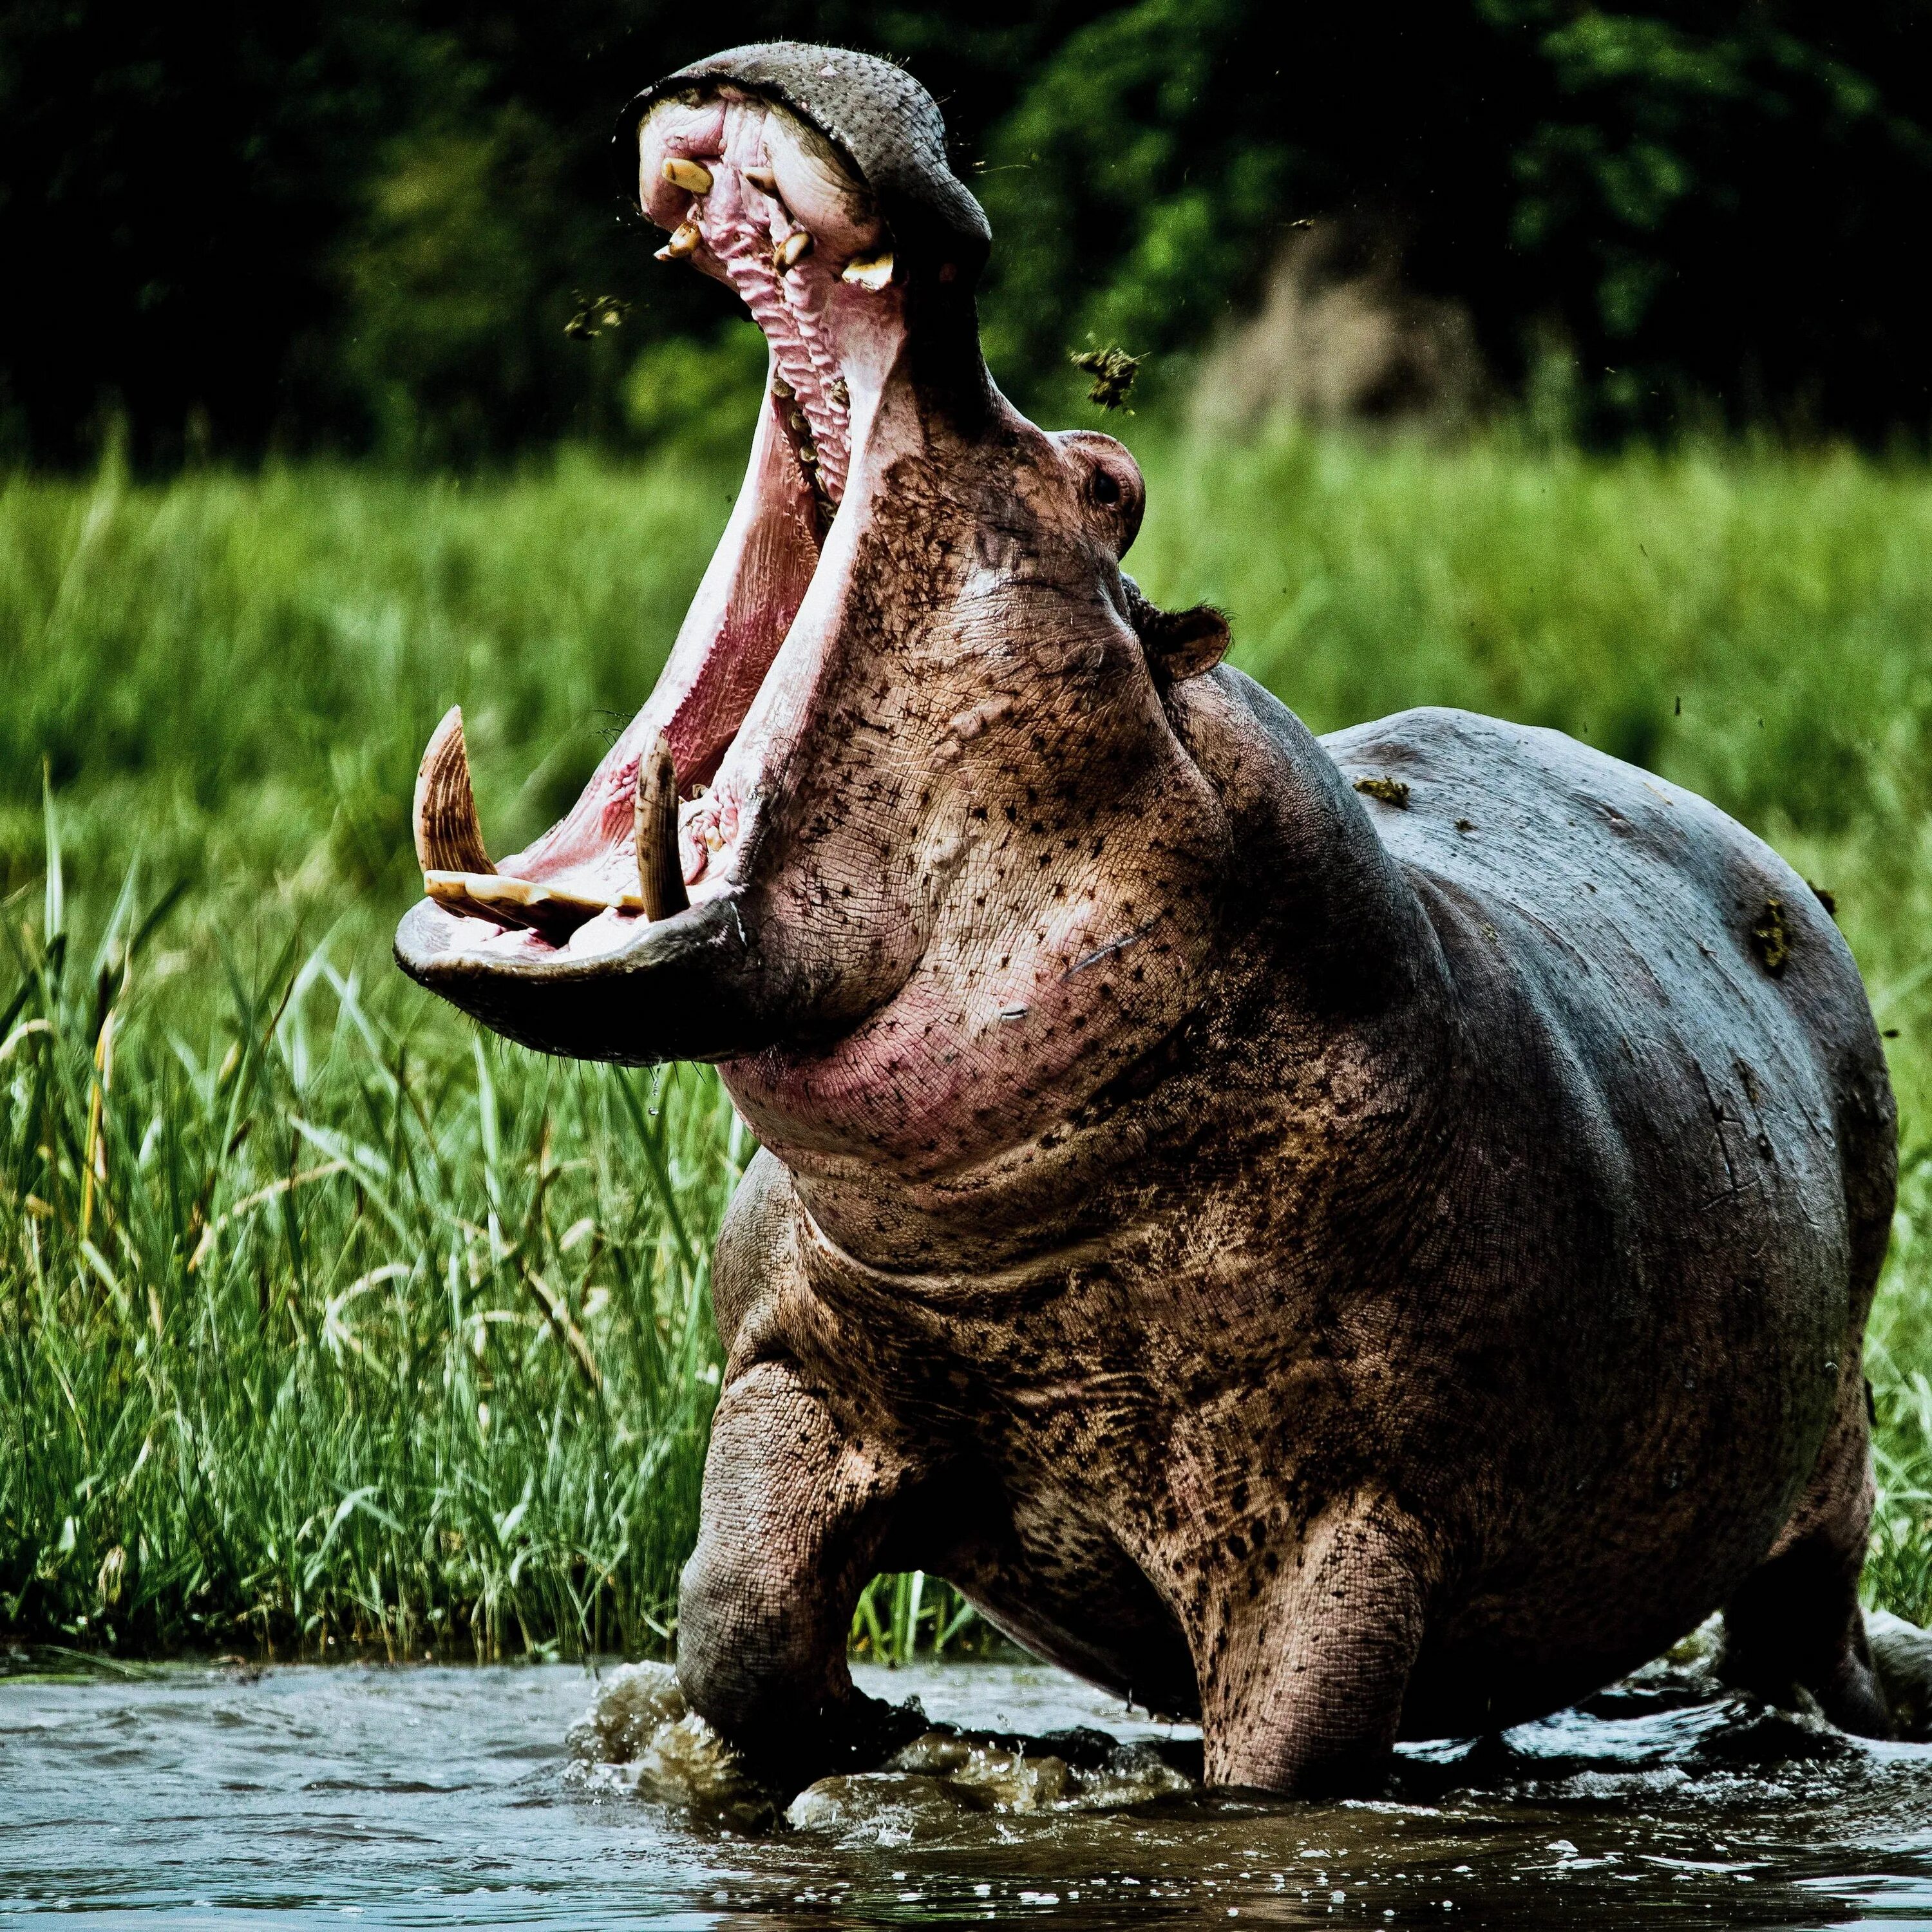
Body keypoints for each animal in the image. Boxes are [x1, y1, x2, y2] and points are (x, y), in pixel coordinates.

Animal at [392, 45, 1901, 1793]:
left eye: (1105, 478)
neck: (1004, 1241)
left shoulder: (1333, 1531)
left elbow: (1276, 1779)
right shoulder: (788, 1370)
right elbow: (738, 1628)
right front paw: (887, 1733)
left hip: (1824, 1457)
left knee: (1805, 1623)